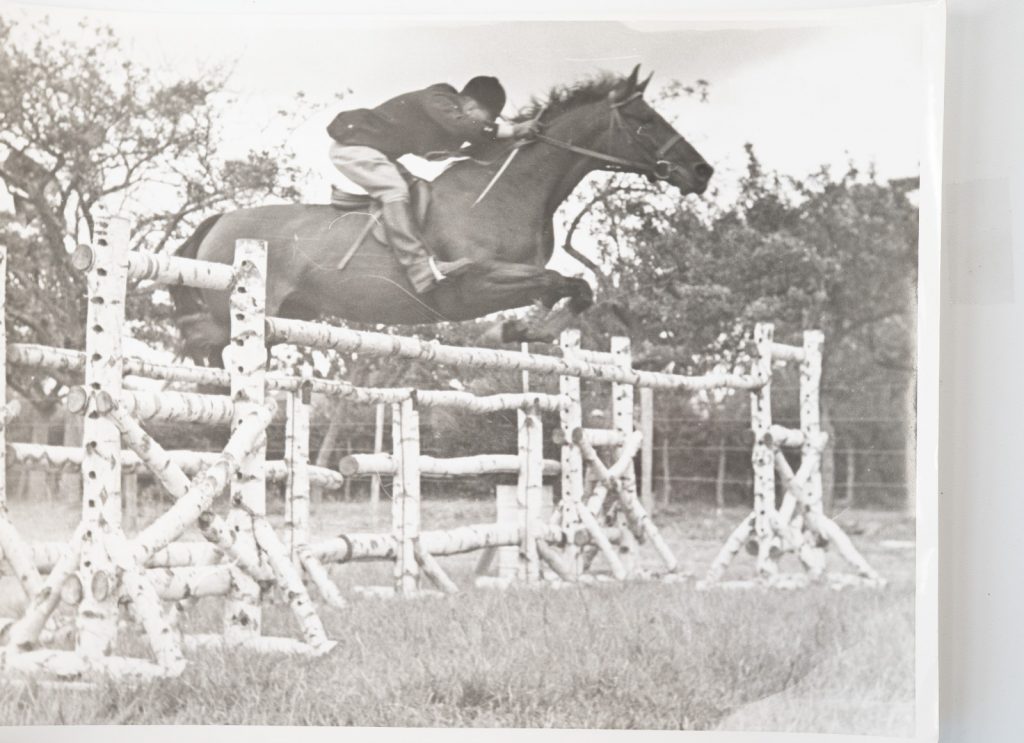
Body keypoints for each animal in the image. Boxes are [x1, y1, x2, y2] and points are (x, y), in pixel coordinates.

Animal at [171, 65, 712, 364]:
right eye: (644, 121)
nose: (702, 172)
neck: (508, 192)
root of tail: (219, 221)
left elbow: (573, 289)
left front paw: (521, 331)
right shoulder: (476, 283)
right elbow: (566, 283)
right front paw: (508, 331)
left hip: (288, 315)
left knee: (205, 342)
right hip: (239, 312)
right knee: (207, 342)